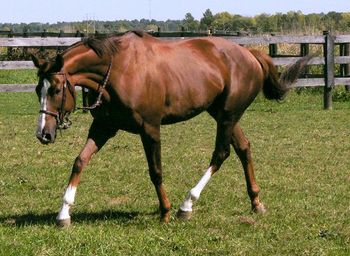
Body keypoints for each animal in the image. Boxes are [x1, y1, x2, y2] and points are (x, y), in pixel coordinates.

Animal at [32, 30, 308, 226]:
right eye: (38, 90)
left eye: (56, 89)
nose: (44, 134)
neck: (120, 69)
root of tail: (250, 54)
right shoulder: (104, 127)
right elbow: (80, 161)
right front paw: (63, 213)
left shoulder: (150, 128)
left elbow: (156, 171)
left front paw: (165, 211)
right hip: (223, 115)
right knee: (243, 148)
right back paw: (256, 202)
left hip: (228, 116)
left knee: (221, 154)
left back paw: (186, 205)